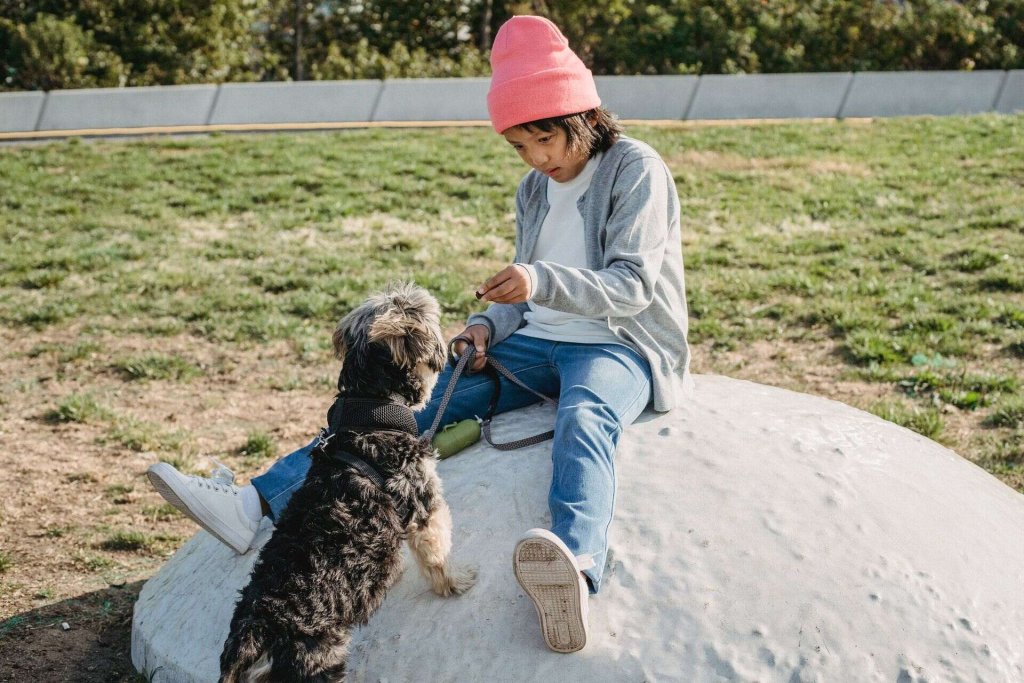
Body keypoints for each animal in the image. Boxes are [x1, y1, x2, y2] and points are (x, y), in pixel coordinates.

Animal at [220, 280, 475, 679]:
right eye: (424, 312)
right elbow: (437, 554)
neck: (370, 413)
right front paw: (456, 581)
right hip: (318, 662)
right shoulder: (423, 505)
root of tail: (255, 634)